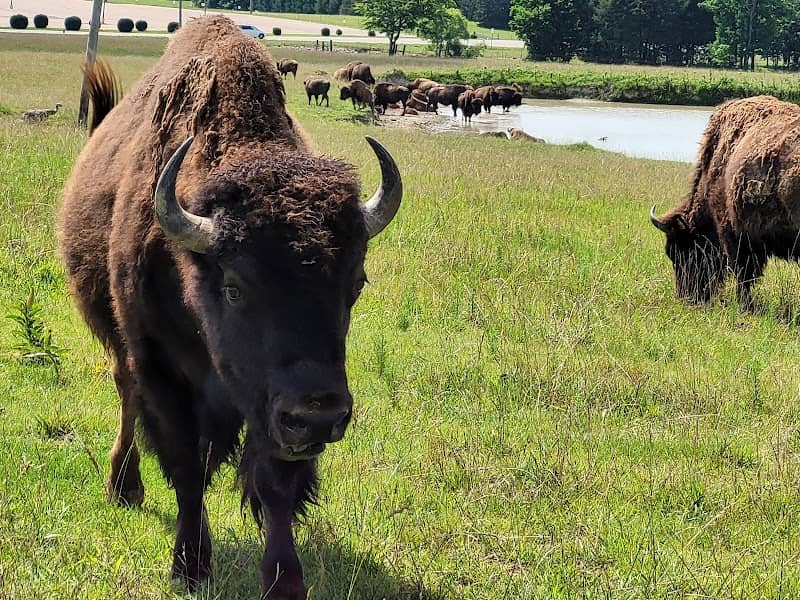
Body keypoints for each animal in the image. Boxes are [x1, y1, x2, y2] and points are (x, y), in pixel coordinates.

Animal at [58, 17, 402, 599]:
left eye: (355, 284)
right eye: (235, 287)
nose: (319, 416)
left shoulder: (270, 406)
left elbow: (275, 484)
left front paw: (285, 581)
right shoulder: (164, 377)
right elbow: (186, 468)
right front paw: (191, 566)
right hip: (118, 343)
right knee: (125, 395)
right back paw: (124, 488)